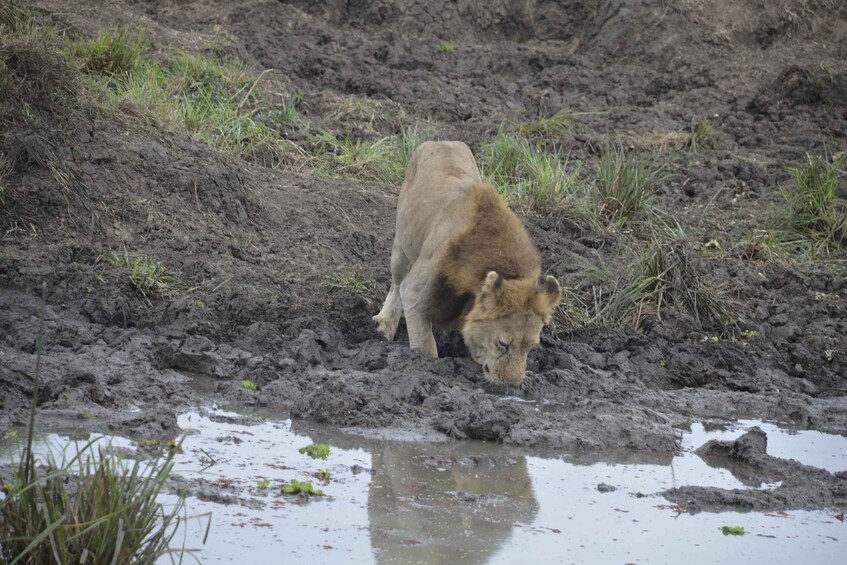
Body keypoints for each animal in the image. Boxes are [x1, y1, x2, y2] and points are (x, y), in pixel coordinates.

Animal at [372, 140, 564, 384]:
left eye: (531, 347)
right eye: (503, 344)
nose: (511, 383)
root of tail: (441, 141)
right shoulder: (415, 290)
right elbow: (424, 343)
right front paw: (425, 366)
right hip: (402, 245)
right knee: (396, 284)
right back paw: (386, 323)